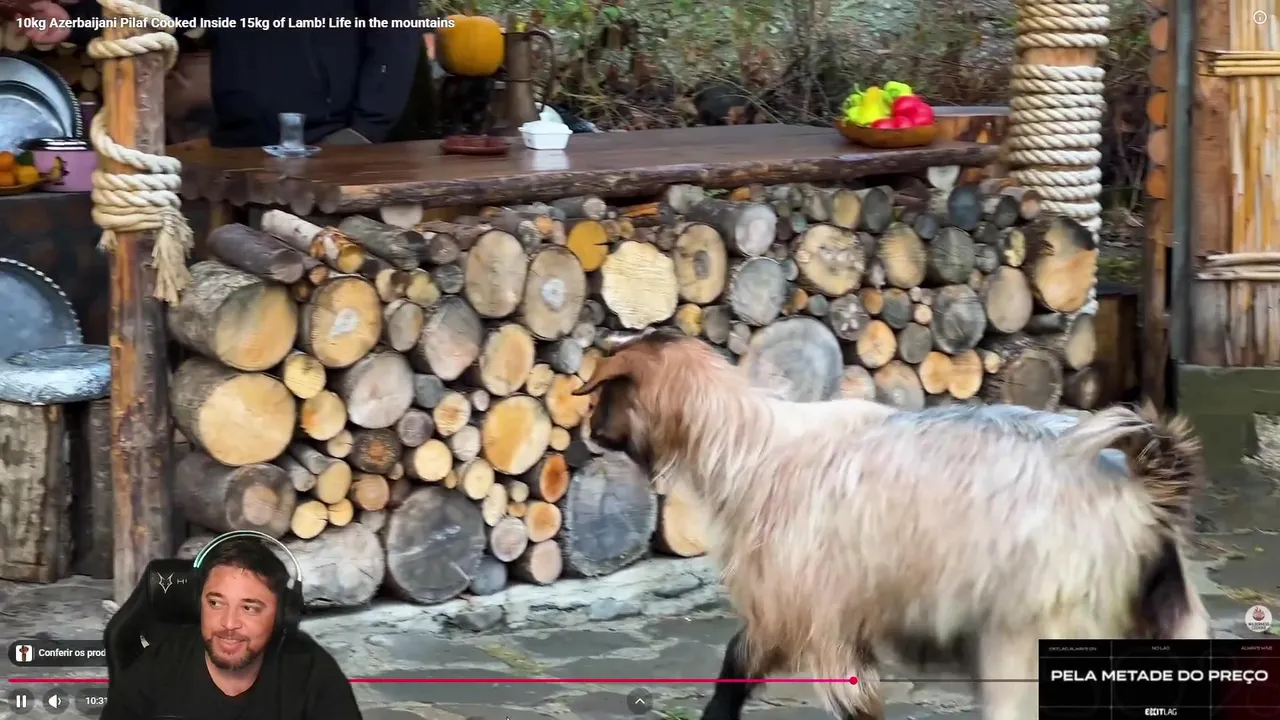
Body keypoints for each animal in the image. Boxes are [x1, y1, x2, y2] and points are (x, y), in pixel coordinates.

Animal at [573, 330, 1210, 720]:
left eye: (604, 393)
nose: (586, 434)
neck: (748, 449)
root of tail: (1145, 490)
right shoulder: (824, 615)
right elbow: (741, 662)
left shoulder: (805, 611)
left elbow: (747, 664)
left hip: (1032, 634)